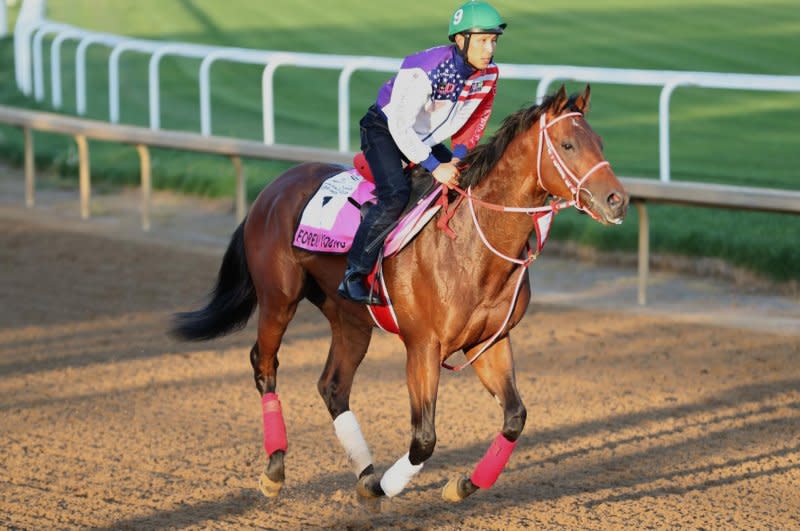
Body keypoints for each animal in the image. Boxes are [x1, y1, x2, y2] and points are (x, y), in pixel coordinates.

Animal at [172, 85, 628, 504]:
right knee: (265, 366)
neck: (471, 245)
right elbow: (424, 438)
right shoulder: (423, 346)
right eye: (568, 144)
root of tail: (272, 189)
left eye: (601, 143)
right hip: (278, 299)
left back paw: (364, 471)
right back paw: (275, 470)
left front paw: (461, 485)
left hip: (351, 319)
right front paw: (387, 488)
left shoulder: (489, 342)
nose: (617, 200)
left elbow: (515, 418)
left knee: (333, 386)